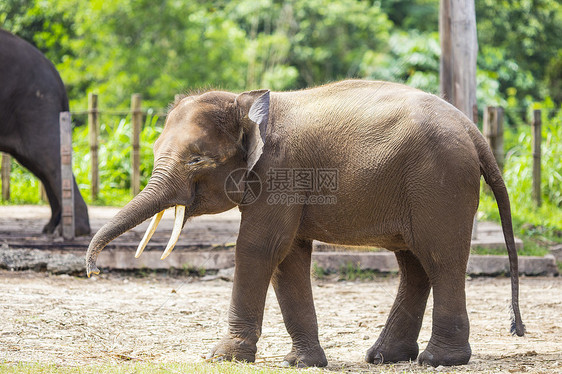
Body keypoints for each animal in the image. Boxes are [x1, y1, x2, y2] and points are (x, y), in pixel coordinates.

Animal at [85, 80, 524, 366]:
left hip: (439, 182)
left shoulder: (281, 171)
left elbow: (260, 248)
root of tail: (473, 130)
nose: (92, 271)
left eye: (196, 160)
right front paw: (301, 363)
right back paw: (384, 357)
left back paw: (438, 361)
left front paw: (222, 357)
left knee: (440, 259)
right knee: (414, 263)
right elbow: (288, 256)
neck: (247, 102)